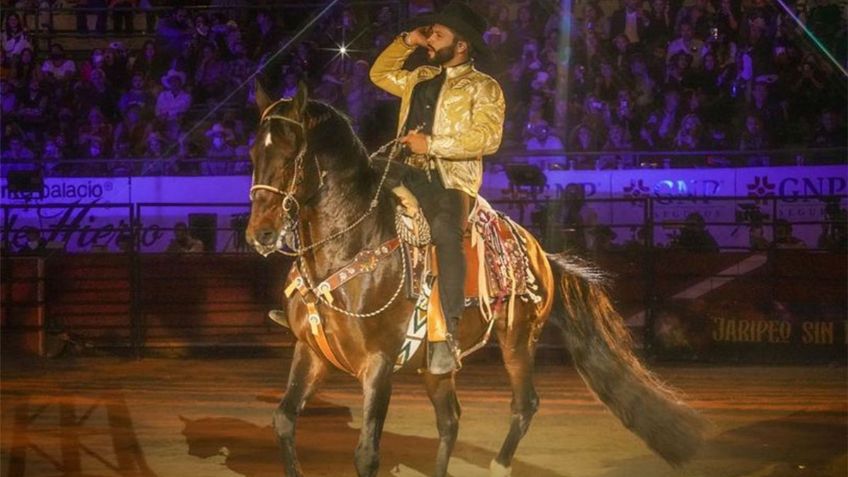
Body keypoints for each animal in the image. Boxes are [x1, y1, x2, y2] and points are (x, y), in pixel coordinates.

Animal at [243, 85, 704, 476]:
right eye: (252, 153)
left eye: (291, 155)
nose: (260, 233)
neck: (351, 247)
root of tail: (542, 256)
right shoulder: (311, 351)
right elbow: (284, 420)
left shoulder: (378, 364)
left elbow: (367, 454)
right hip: (436, 365)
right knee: (451, 420)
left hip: (518, 339)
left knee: (524, 404)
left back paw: (500, 465)